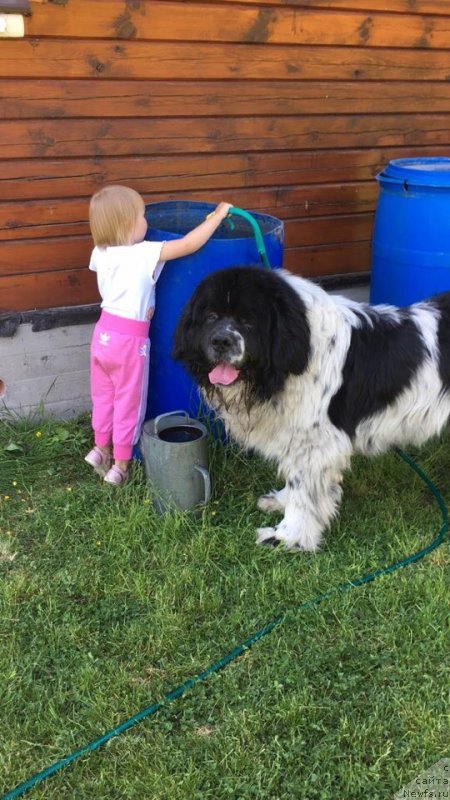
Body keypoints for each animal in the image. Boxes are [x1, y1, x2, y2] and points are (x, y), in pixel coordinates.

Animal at [173, 266, 450, 552]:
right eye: (211, 316)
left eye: (248, 320)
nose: (221, 341)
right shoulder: (297, 435)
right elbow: (294, 481)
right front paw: (280, 501)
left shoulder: (315, 443)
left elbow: (303, 492)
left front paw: (287, 536)